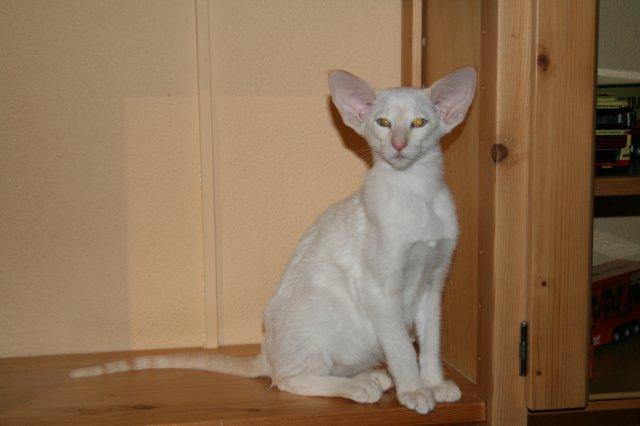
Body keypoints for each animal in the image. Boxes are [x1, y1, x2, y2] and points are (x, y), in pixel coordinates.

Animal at [71, 68, 476, 414]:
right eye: (384, 122)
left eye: (419, 123)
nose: (399, 144)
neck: (417, 193)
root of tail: (265, 353)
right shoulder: (379, 289)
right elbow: (402, 348)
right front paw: (414, 391)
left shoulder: (433, 282)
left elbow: (430, 342)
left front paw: (434, 383)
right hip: (323, 310)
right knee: (287, 379)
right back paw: (360, 386)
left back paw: (373, 376)